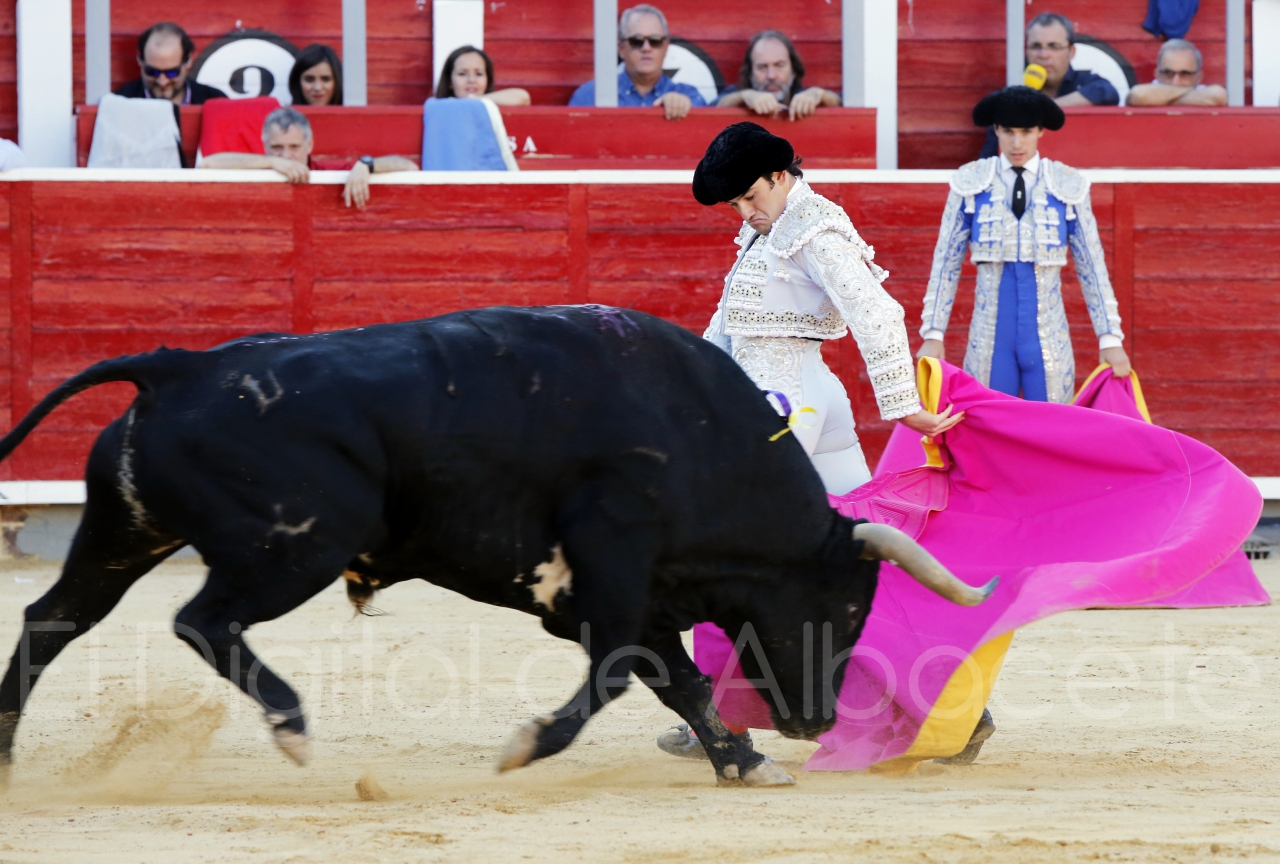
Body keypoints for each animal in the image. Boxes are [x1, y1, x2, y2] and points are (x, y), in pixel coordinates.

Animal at [0, 306, 993, 788]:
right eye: (850, 606)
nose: (817, 723)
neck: (698, 434)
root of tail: (182, 364)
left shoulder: (630, 592)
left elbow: (680, 680)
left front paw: (744, 764)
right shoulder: (615, 572)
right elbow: (624, 675)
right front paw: (525, 748)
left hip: (125, 529)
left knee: (51, 619)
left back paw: (7, 755)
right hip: (296, 548)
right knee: (201, 621)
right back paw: (291, 728)